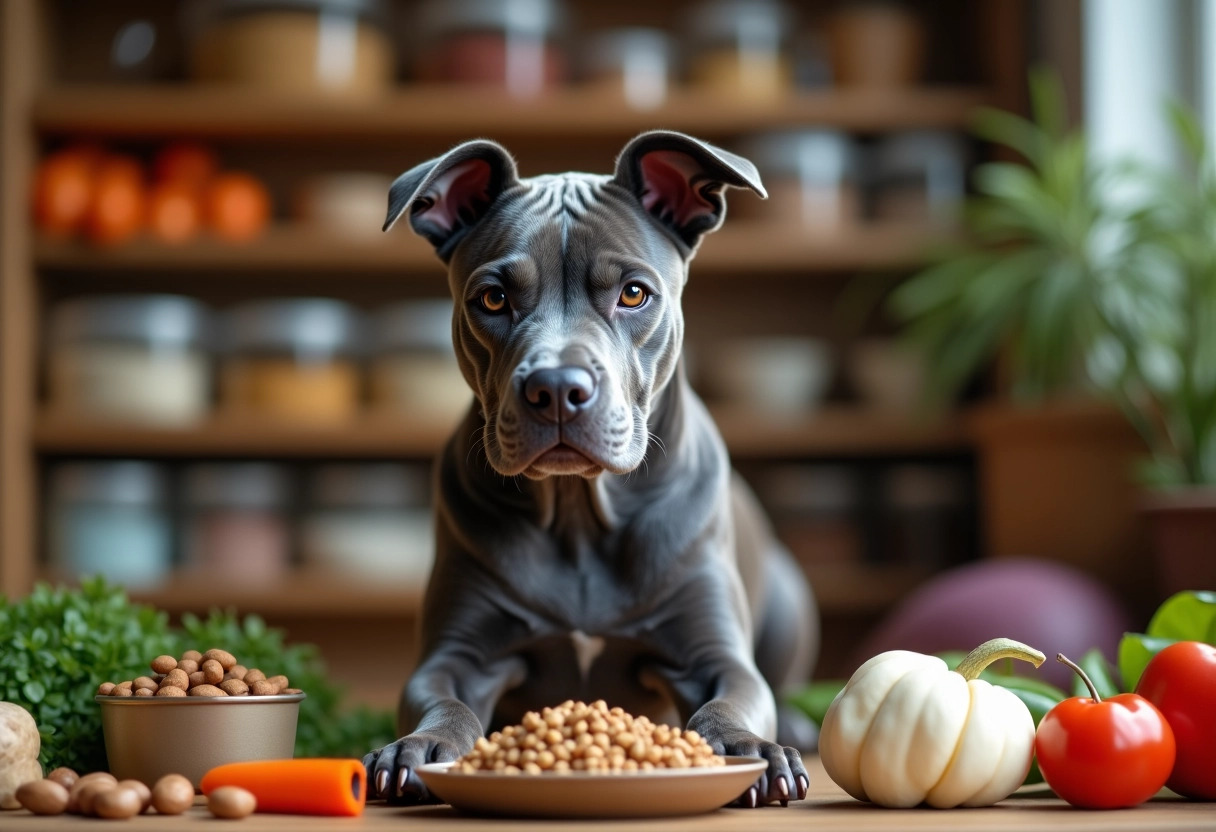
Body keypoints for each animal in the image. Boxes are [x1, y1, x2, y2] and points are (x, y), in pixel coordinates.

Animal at [359, 133, 817, 807]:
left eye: (634, 293)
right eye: (492, 297)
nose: (555, 387)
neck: (578, 513)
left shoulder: (714, 654)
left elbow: (730, 701)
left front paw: (750, 749)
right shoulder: (456, 655)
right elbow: (442, 702)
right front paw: (420, 747)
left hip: (790, 603)